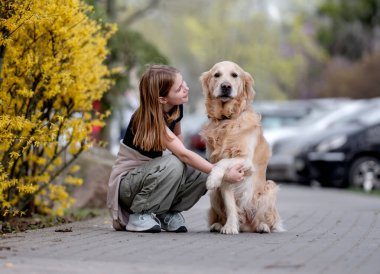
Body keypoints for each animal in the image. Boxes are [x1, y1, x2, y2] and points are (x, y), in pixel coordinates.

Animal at [200, 61, 284, 234]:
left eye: (234, 75)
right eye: (217, 75)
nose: (226, 86)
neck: (226, 120)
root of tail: (247, 224)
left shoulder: (245, 160)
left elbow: (223, 162)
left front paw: (212, 179)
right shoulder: (227, 177)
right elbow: (230, 206)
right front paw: (230, 226)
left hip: (269, 188)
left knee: (266, 220)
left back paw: (262, 226)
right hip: (214, 195)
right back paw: (218, 225)